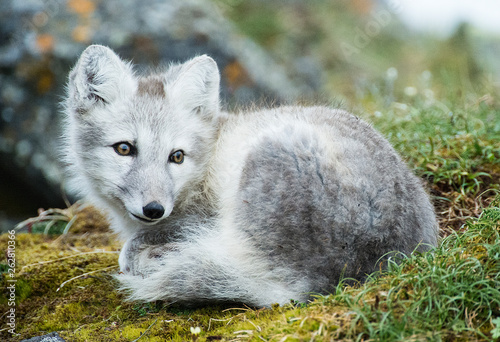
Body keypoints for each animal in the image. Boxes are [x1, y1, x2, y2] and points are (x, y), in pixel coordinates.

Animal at [62, 44, 438, 306]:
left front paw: (148, 249)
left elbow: (133, 247)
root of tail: (344, 274)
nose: (154, 210)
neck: (208, 157)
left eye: (177, 156)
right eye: (124, 148)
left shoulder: (199, 217)